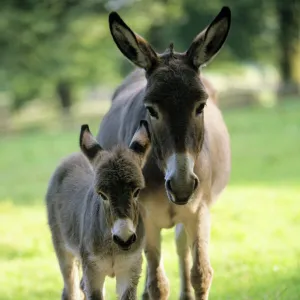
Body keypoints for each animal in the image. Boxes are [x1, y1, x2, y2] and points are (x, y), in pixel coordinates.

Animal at [45, 122, 151, 300]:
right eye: (102, 194)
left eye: (137, 191)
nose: (124, 239)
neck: (113, 248)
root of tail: (73, 156)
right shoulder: (93, 271)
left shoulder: (131, 269)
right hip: (62, 247)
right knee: (71, 289)